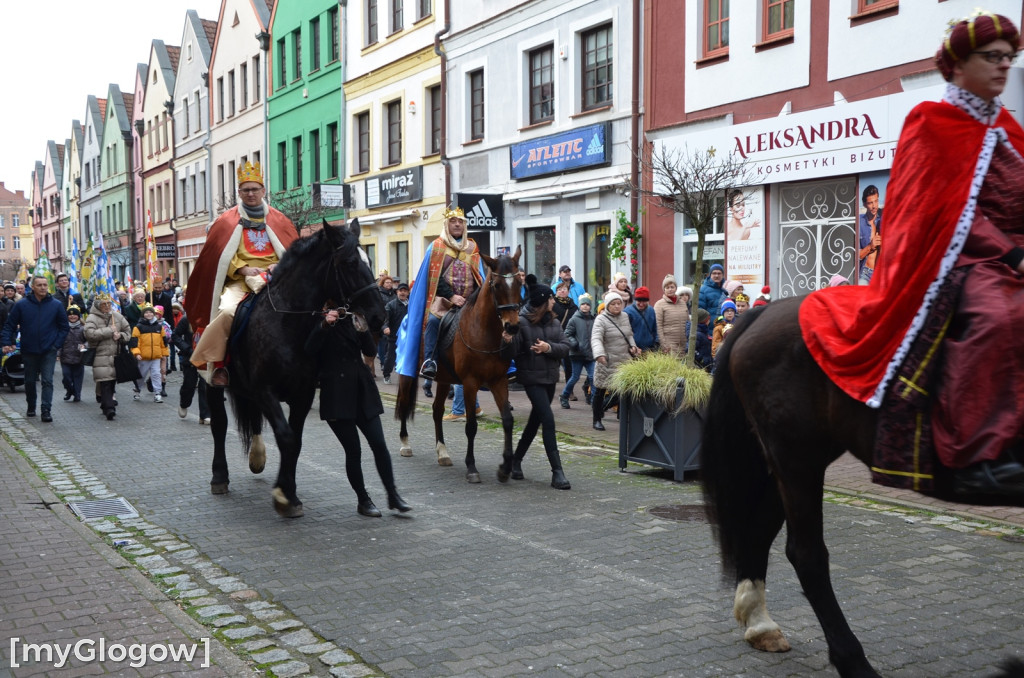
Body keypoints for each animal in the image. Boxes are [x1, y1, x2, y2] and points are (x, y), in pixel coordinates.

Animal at [391, 248, 520, 483]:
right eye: (497, 285)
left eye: (520, 282)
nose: (512, 326)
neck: (483, 332)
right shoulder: (470, 383)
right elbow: (471, 425)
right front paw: (472, 468)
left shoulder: (499, 381)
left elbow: (507, 420)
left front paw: (505, 468)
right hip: (408, 373)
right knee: (404, 402)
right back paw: (405, 444)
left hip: (443, 379)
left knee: (436, 410)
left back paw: (442, 453)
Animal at [704, 297, 1024, 678]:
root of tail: (764, 311)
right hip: (797, 458)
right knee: (807, 554)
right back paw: (853, 661)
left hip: (794, 461)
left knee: (760, 531)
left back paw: (760, 625)